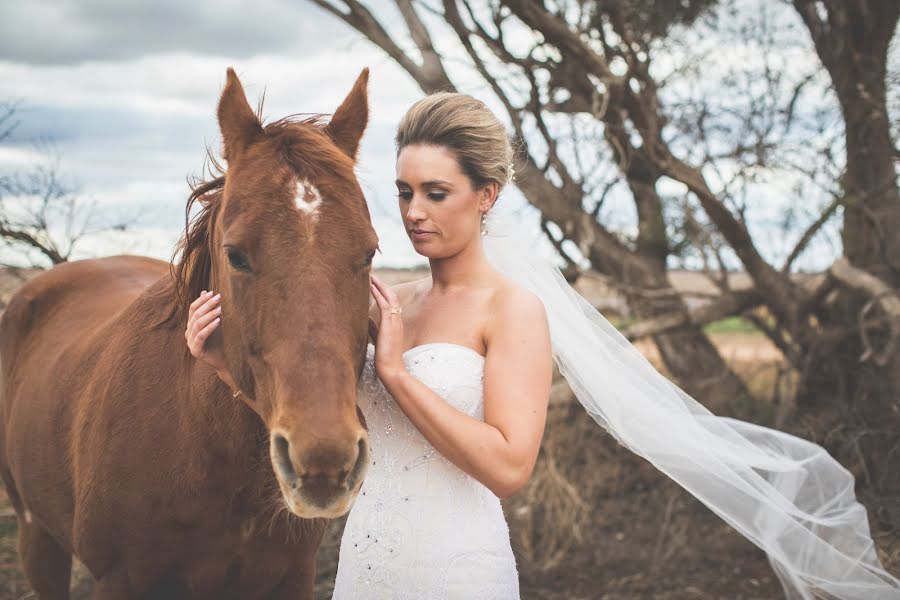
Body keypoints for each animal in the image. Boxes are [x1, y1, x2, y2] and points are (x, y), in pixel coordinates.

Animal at [0, 68, 378, 596]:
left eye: (369, 252)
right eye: (235, 254)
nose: (323, 459)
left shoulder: (291, 578)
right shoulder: (118, 580)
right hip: (37, 537)